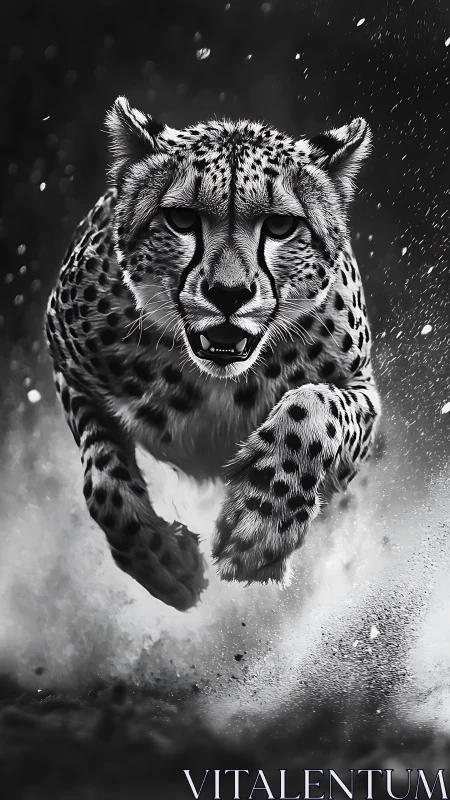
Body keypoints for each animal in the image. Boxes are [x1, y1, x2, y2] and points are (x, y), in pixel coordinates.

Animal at [45, 96, 381, 612]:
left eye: (281, 225)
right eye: (182, 220)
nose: (228, 293)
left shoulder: (361, 389)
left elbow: (311, 408)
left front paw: (260, 527)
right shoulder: (69, 367)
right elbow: (102, 484)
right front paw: (165, 560)